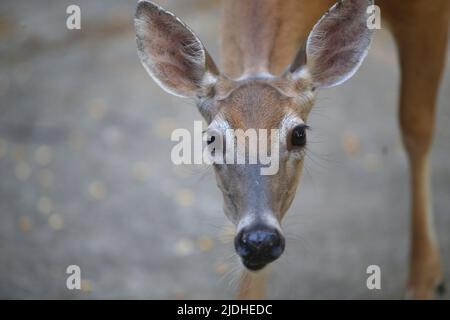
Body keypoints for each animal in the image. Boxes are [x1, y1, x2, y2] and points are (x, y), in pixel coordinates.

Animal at [134, 0, 450, 300]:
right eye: (211, 139)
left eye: (299, 134)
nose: (259, 241)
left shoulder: (428, 12)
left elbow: (416, 126)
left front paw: (425, 279)